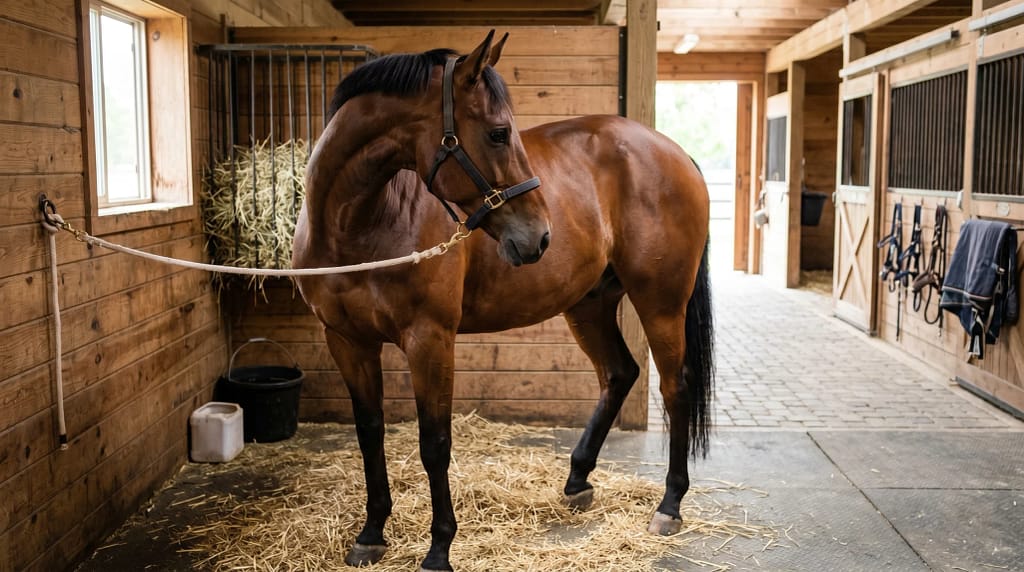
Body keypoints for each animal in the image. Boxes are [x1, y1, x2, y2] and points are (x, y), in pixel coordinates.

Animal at [292, 31, 714, 572]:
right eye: (497, 133)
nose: (539, 236)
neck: (362, 223)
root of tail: (674, 151)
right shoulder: (346, 340)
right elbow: (369, 433)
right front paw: (371, 533)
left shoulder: (430, 339)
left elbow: (435, 443)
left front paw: (439, 548)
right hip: (589, 304)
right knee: (619, 373)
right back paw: (577, 481)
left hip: (660, 301)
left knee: (674, 387)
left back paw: (669, 504)